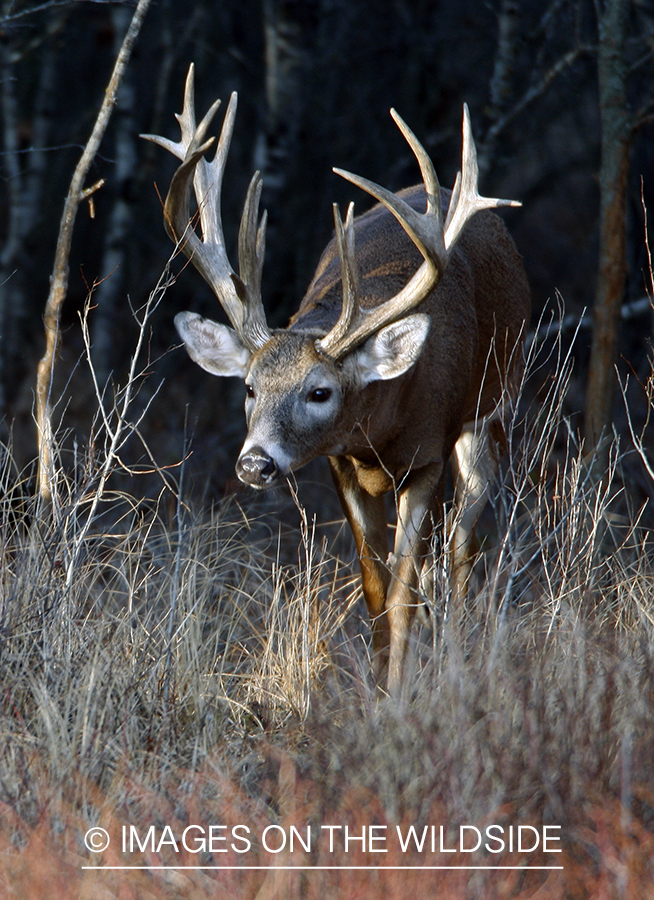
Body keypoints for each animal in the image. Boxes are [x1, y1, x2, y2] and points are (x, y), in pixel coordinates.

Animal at [144, 65, 532, 696]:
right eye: (249, 387)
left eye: (319, 392)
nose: (254, 463)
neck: (382, 429)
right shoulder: (339, 464)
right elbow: (375, 590)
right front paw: (377, 687)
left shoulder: (427, 454)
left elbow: (403, 592)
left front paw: (397, 696)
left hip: (491, 409)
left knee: (462, 548)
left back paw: (456, 654)